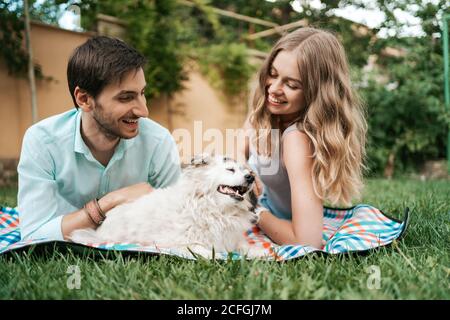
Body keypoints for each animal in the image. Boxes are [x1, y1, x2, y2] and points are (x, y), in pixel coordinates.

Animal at [69, 154, 268, 258]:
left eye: (247, 171)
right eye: (230, 170)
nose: (251, 177)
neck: (216, 210)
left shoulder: (232, 240)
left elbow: (244, 246)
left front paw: (259, 252)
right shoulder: (178, 242)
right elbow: (203, 250)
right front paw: (218, 257)